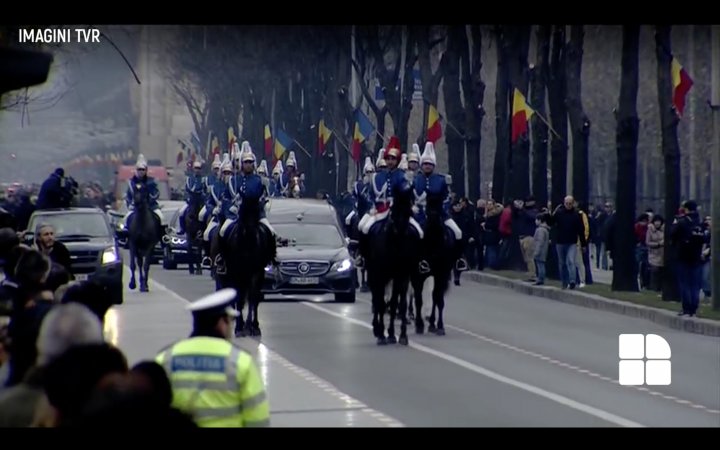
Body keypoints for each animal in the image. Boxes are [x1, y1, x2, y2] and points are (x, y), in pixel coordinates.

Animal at [214, 198, 276, 338]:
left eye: (258, 209)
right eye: (241, 208)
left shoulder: (257, 272)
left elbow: (253, 297)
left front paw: (252, 326)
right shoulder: (236, 273)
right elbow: (238, 297)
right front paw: (239, 327)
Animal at [362, 185, 420, 346]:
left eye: (409, 211)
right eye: (393, 209)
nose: (400, 232)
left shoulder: (402, 275)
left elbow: (398, 304)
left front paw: (398, 335)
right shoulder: (380, 274)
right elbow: (381, 302)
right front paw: (382, 333)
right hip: (373, 272)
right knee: (377, 298)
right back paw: (376, 328)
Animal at [410, 195, 456, 336]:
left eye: (441, 202)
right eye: (428, 205)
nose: (435, 219)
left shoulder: (441, 275)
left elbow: (437, 298)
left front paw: (437, 325)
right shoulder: (418, 275)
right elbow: (418, 299)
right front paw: (419, 325)